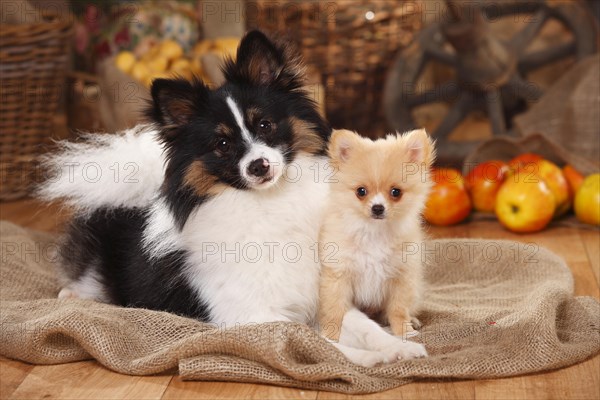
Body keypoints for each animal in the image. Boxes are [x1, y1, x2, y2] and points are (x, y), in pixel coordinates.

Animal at [322, 129, 434, 340]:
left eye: (396, 192)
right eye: (361, 191)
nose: (378, 208)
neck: (374, 232)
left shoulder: (402, 276)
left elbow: (398, 310)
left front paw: (404, 331)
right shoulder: (338, 276)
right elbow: (335, 309)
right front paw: (330, 335)